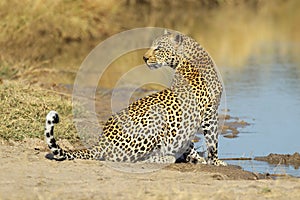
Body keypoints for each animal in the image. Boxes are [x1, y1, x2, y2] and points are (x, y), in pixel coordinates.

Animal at [44, 30, 226, 166]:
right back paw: (166, 158)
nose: (144, 58)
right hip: (153, 120)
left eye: (158, 48)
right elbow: (213, 141)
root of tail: (102, 142)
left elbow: (192, 142)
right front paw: (215, 161)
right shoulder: (210, 114)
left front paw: (196, 158)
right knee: (136, 159)